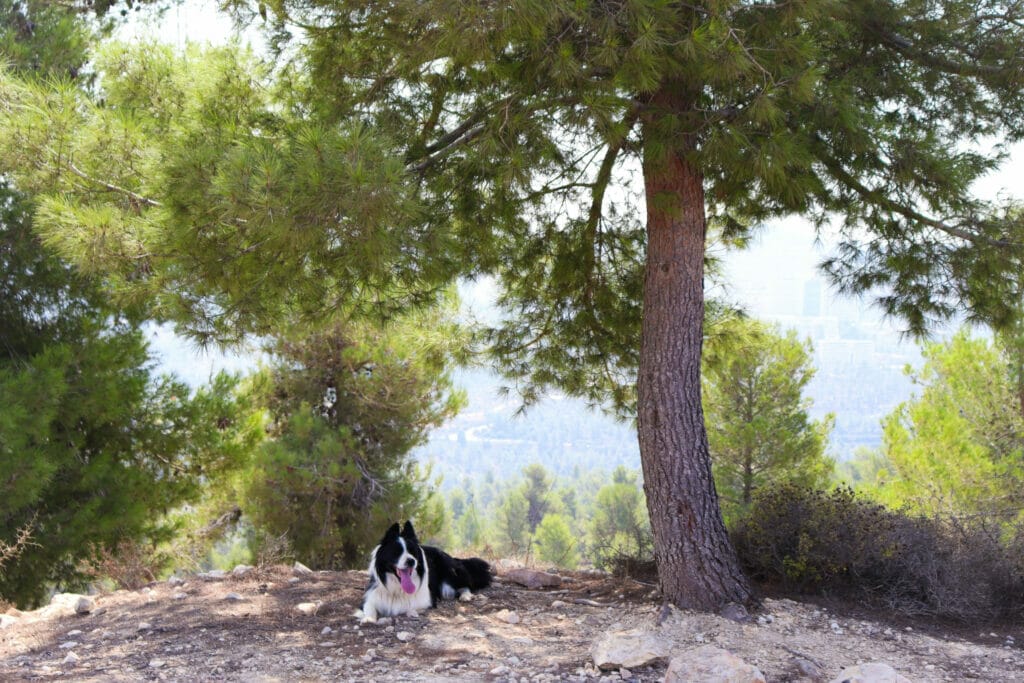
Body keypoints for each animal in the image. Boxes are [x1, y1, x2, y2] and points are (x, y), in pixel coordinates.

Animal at [356, 520, 491, 622]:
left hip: (450, 575)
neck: (397, 587)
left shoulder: (425, 600)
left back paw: (465, 596)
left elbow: (408, 607)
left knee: (466, 585)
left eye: (412, 551)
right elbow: (369, 606)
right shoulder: (370, 596)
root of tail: (452, 557)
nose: (411, 561)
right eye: (396, 552)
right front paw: (368, 618)